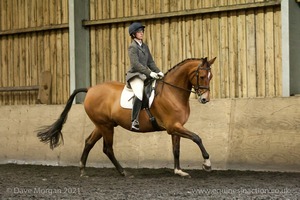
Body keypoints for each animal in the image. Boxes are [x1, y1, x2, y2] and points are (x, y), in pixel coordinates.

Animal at [37, 57, 216, 177]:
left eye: (210, 77)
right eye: (201, 76)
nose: (205, 99)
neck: (172, 92)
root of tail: (90, 89)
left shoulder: (176, 127)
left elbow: (176, 149)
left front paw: (179, 171)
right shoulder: (173, 126)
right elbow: (197, 138)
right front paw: (207, 163)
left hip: (102, 125)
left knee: (88, 142)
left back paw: (82, 170)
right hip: (106, 126)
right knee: (107, 148)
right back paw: (123, 172)